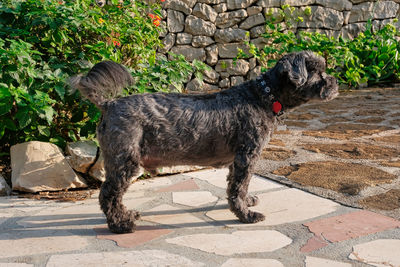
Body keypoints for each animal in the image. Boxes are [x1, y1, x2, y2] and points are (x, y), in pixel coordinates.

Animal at [70, 50, 340, 234]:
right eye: (317, 71)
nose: (335, 82)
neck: (262, 96)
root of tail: (109, 104)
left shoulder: (237, 160)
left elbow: (237, 187)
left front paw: (246, 202)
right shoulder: (246, 157)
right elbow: (238, 187)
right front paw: (246, 215)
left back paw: (127, 215)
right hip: (124, 161)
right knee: (108, 194)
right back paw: (120, 225)